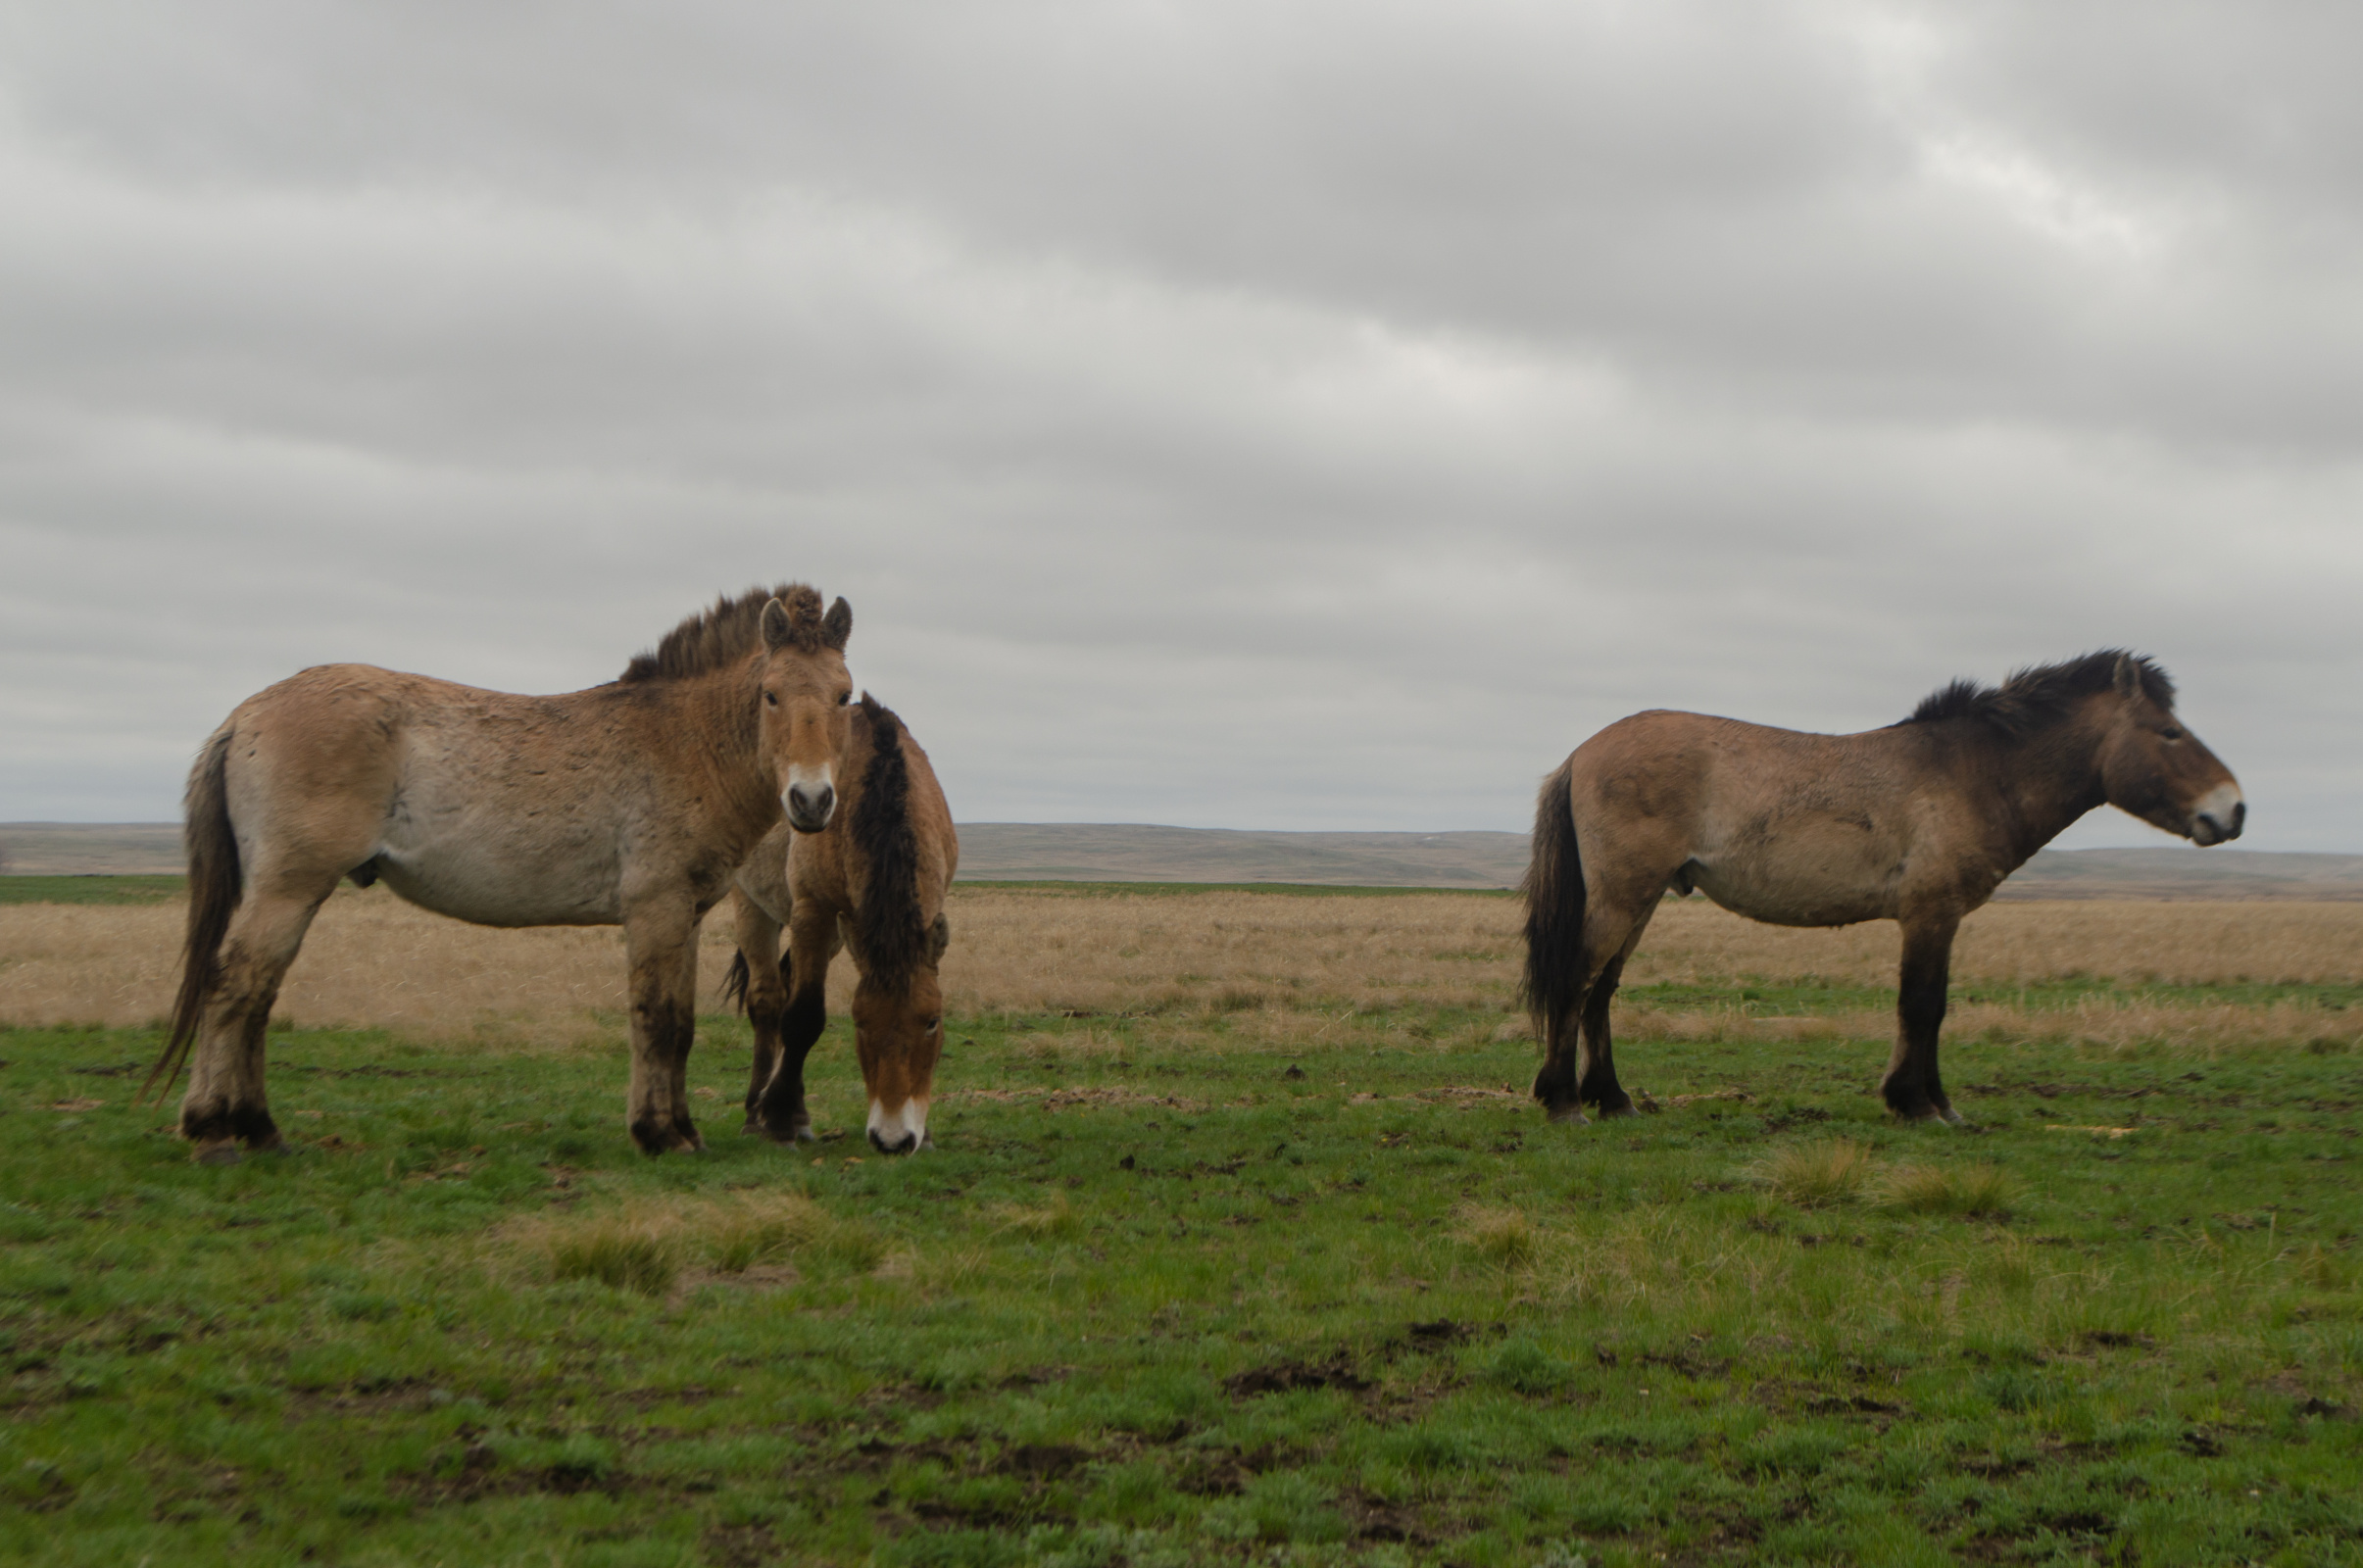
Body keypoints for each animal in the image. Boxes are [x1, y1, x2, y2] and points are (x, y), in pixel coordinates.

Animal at [142, 580, 860, 1156]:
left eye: (845, 696)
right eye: (771, 695)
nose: (811, 801)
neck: (682, 738)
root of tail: (244, 717)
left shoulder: (684, 915)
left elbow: (677, 1024)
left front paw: (680, 1128)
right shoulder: (655, 909)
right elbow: (656, 1020)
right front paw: (658, 1135)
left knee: (257, 994)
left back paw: (254, 1126)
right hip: (288, 888)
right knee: (235, 988)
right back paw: (219, 1127)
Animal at [714, 694, 955, 1152]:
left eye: (932, 1021)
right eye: (860, 1022)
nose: (893, 1139)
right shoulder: (812, 912)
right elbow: (803, 1017)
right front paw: (779, 1118)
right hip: (754, 907)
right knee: (768, 1001)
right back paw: (757, 1111)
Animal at [1521, 647, 2240, 1128]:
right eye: (2169, 732)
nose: (2232, 810)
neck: (1971, 772)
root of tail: (1581, 754)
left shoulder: (1937, 919)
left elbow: (1931, 1007)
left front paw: (1934, 1102)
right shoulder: (1929, 915)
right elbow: (1920, 1006)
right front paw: (1917, 1103)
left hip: (1639, 900)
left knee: (1601, 991)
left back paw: (1613, 1099)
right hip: (1622, 896)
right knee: (1576, 980)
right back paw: (1563, 1101)